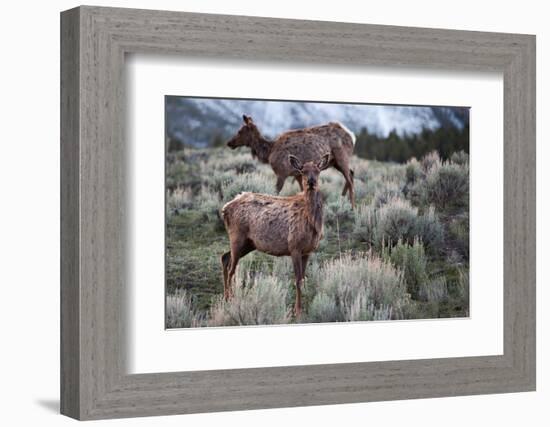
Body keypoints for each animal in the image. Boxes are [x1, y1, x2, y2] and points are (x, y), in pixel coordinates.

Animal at [221, 154, 332, 318]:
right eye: (303, 171)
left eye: (318, 170)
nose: (311, 182)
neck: (313, 223)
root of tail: (225, 209)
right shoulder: (294, 247)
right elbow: (297, 280)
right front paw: (297, 311)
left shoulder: (307, 251)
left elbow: (303, 279)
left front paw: (301, 309)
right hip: (237, 236)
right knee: (231, 268)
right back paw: (230, 299)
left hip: (249, 243)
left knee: (225, 257)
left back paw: (226, 296)